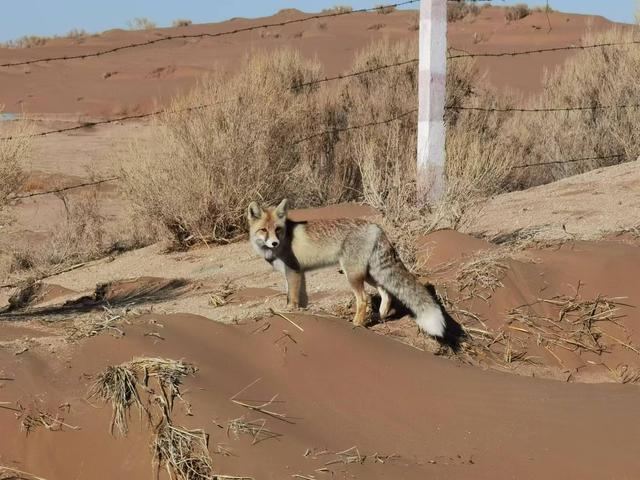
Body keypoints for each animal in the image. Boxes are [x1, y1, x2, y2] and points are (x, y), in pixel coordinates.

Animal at [248, 199, 448, 338]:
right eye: (264, 230)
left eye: (278, 229)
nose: (274, 243)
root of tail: (376, 227)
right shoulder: (298, 273)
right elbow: (301, 299)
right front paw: (303, 313)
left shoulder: (294, 272)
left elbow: (293, 299)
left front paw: (291, 313)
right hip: (370, 274)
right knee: (387, 293)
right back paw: (380, 316)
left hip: (352, 274)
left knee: (364, 299)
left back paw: (357, 324)